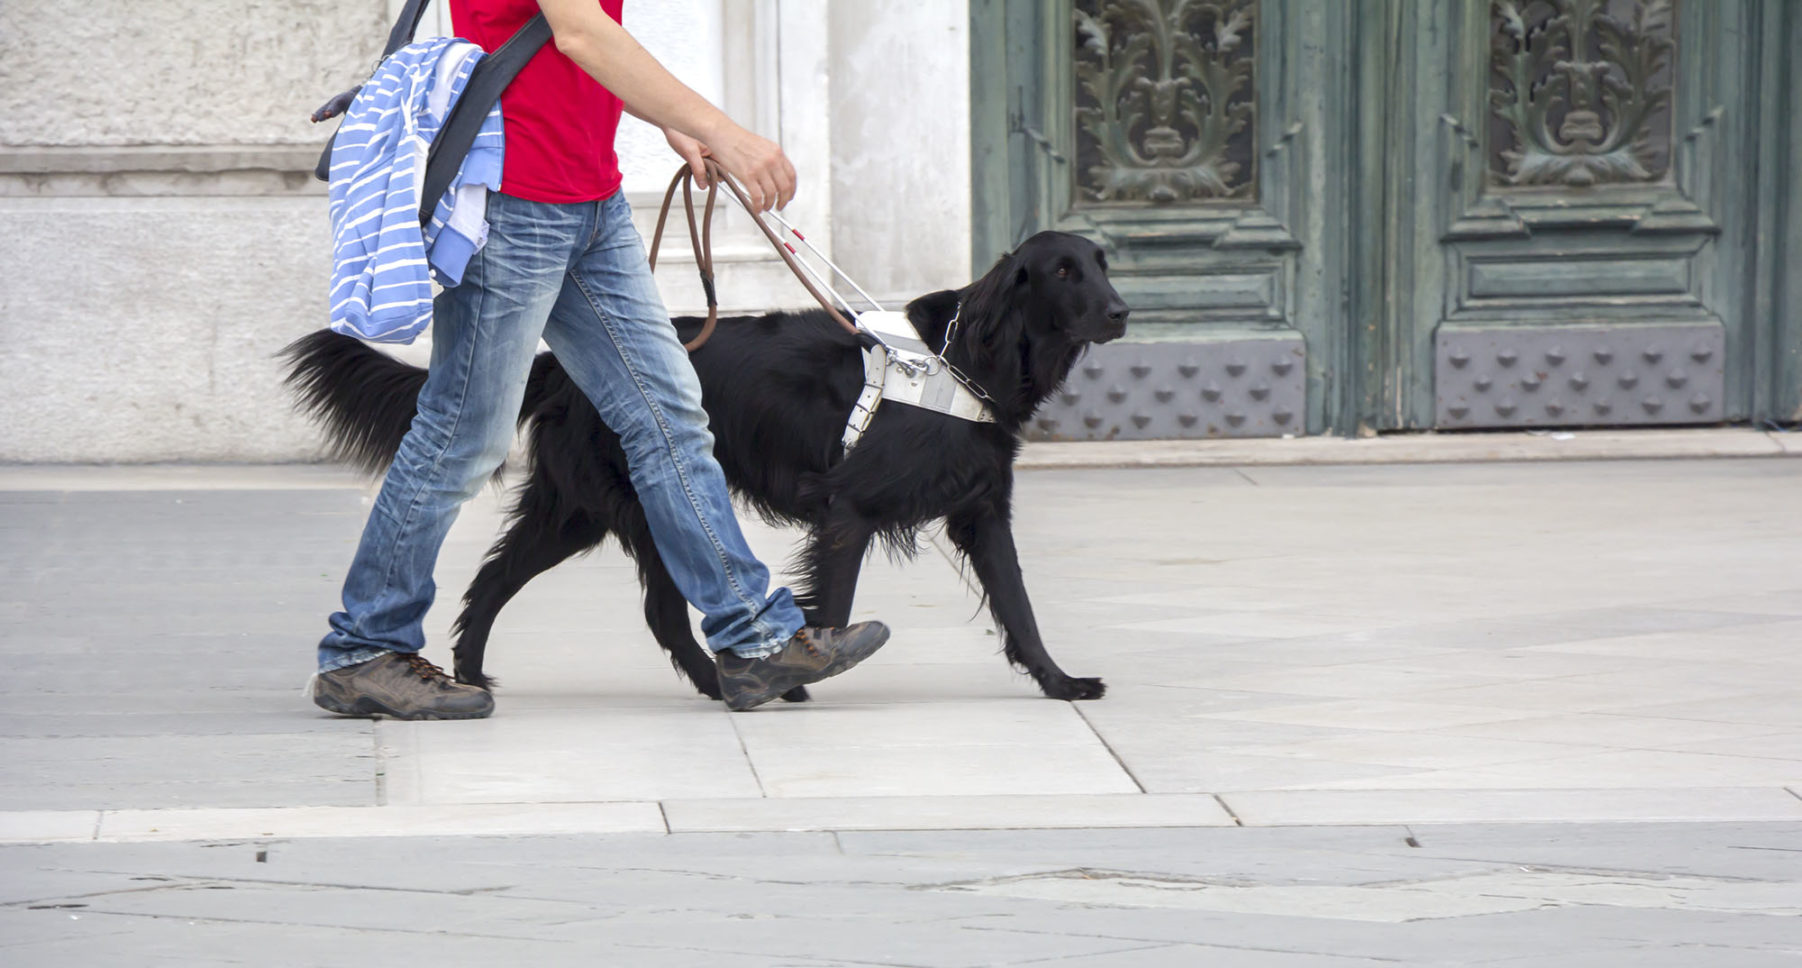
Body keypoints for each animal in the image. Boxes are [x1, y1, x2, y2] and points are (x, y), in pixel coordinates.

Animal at [284, 230, 1124, 706]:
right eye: (1063, 273)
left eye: (1102, 264)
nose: (1121, 311)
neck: (961, 360)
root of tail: (557, 363)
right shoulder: (847, 511)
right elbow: (833, 603)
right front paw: (803, 675)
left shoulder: (982, 513)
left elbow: (1020, 607)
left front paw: (1061, 684)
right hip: (624, 500)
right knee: (623, 604)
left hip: (587, 509)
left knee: (506, 582)